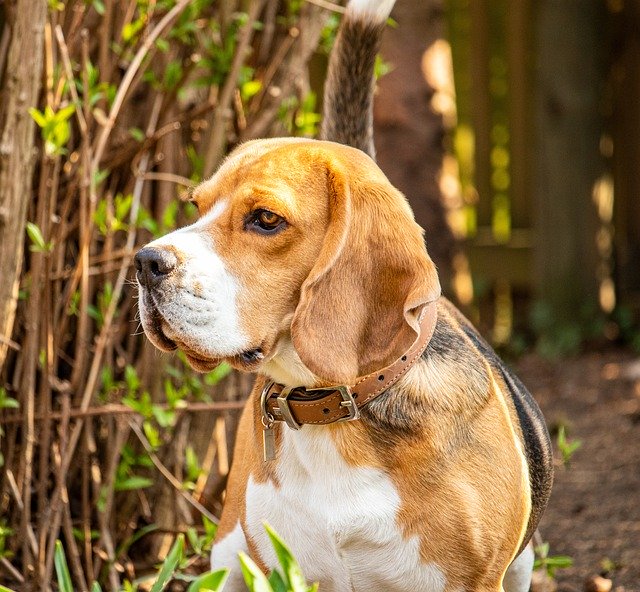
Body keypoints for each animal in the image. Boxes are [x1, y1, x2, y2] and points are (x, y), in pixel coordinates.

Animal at [134, 1, 552, 592]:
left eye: (266, 219)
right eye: (197, 205)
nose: (145, 263)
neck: (337, 413)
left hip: (521, 566)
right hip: (229, 554)